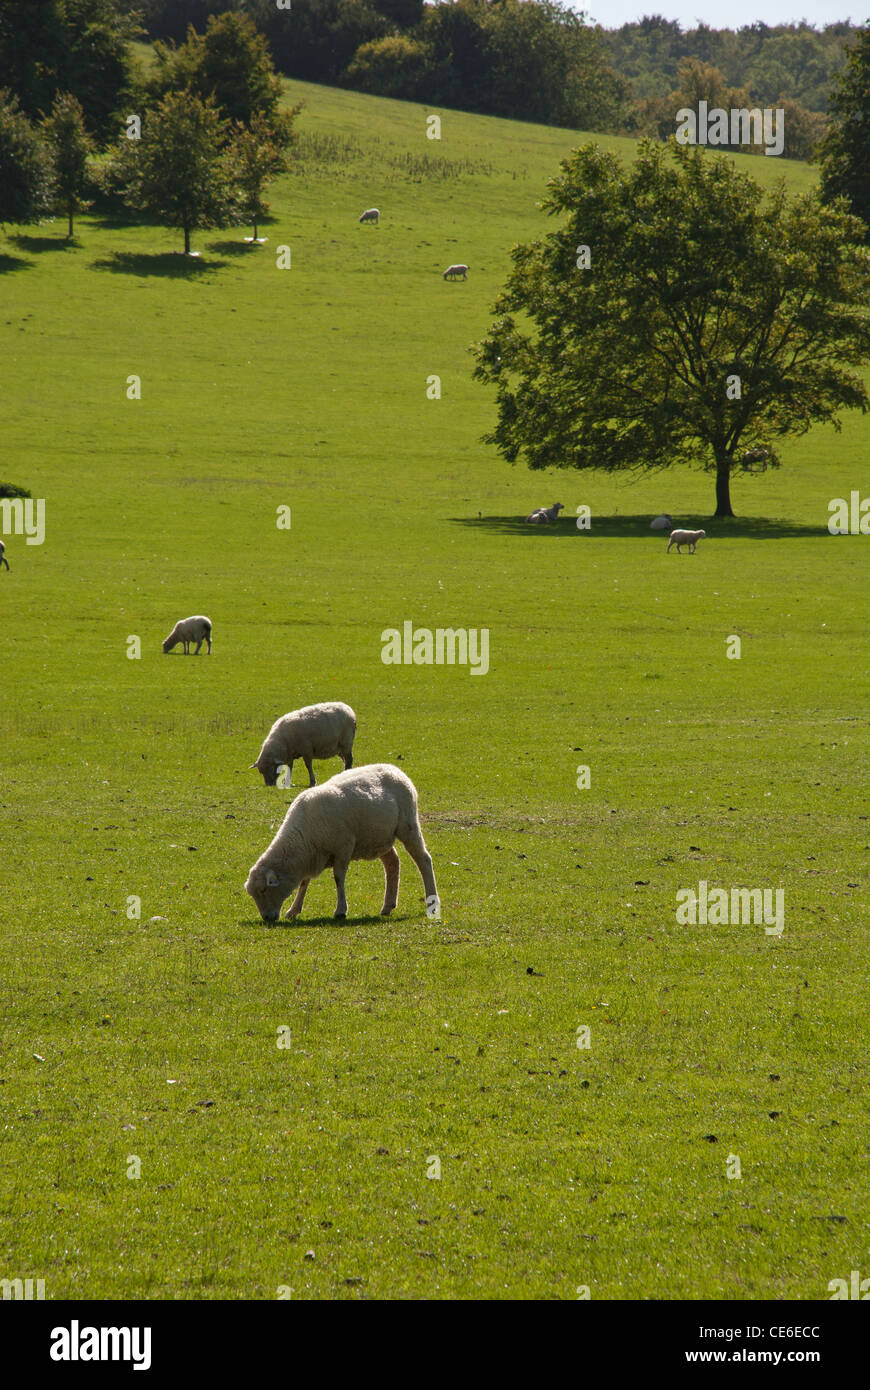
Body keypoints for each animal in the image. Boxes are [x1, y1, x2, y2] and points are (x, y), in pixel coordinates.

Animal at [241, 761, 436, 922]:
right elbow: (304, 881)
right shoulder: (312, 855)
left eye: (264, 890)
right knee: (392, 863)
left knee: (424, 860)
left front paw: (340, 910)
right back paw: (388, 906)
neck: (302, 839)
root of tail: (396, 770)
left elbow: (338, 878)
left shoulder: (343, 848)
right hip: (378, 837)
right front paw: (294, 910)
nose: (267, 918)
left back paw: (432, 903)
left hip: (408, 825)